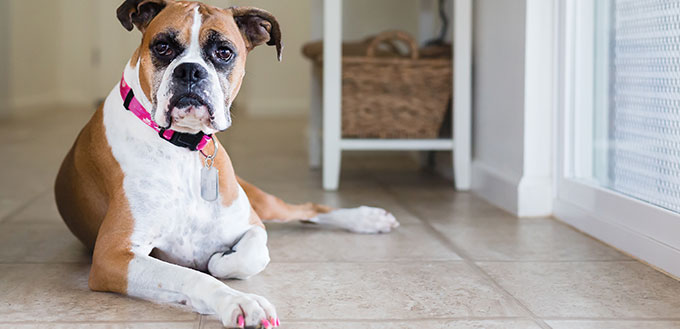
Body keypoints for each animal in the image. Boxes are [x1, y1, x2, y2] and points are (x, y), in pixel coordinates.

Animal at [55, 1, 402, 326]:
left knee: (309, 209)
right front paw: (240, 301)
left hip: (264, 203)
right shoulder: (113, 255)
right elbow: (194, 275)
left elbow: (245, 256)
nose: (190, 71)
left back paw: (368, 218)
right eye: (163, 47)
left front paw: (220, 258)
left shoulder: (252, 225)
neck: (184, 149)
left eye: (223, 52)